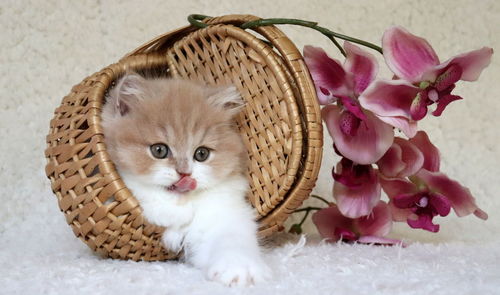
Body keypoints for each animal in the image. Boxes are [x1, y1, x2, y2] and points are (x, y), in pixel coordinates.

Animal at [100, 73, 270, 286]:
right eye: (159, 150)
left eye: (202, 154)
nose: (185, 174)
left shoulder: (226, 214)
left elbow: (233, 240)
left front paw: (238, 271)